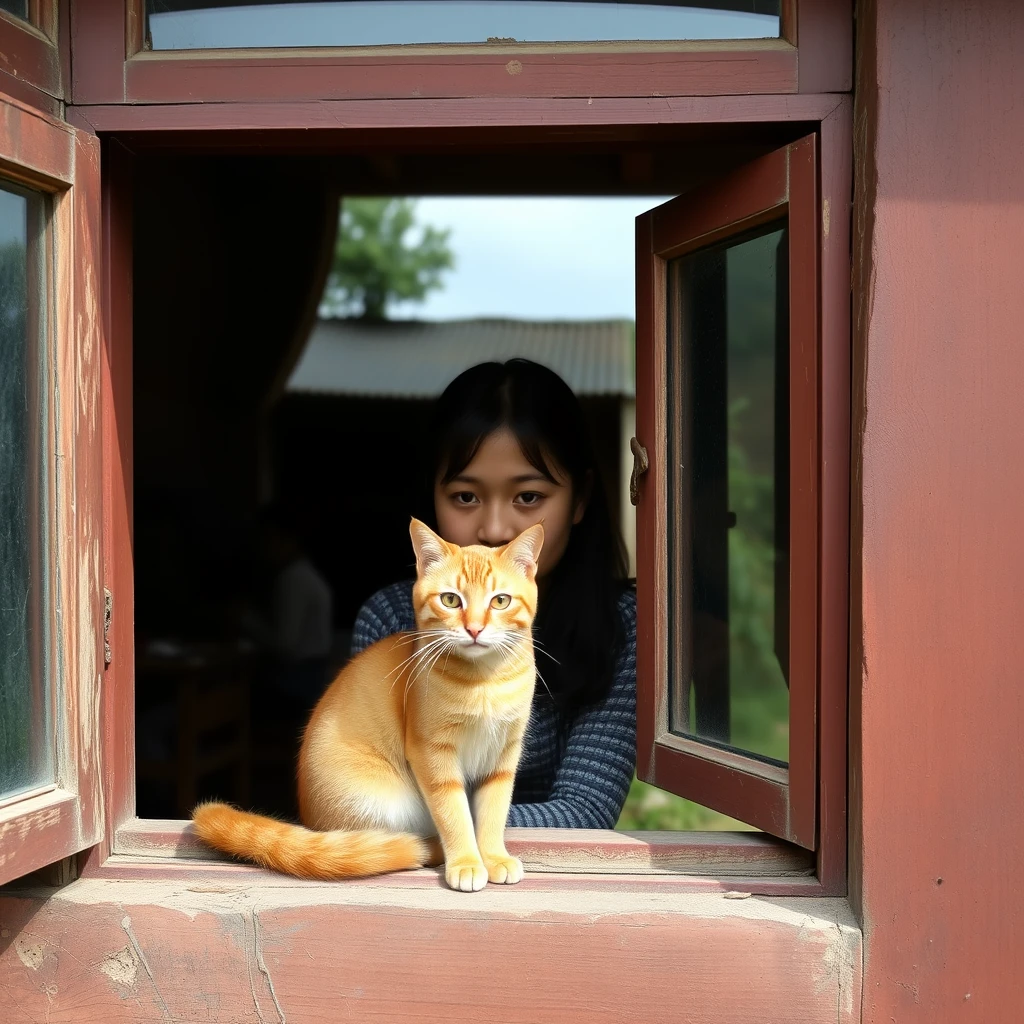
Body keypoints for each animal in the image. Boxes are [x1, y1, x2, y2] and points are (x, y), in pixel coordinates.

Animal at [192, 520, 544, 888]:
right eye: (450, 600)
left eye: (501, 601)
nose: (475, 629)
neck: (484, 680)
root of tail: (309, 820)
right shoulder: (432, 754)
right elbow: (454, 813)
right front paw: (466, 861)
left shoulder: (504, 755)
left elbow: (493, 811)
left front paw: (493, 856)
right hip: (381, 805)